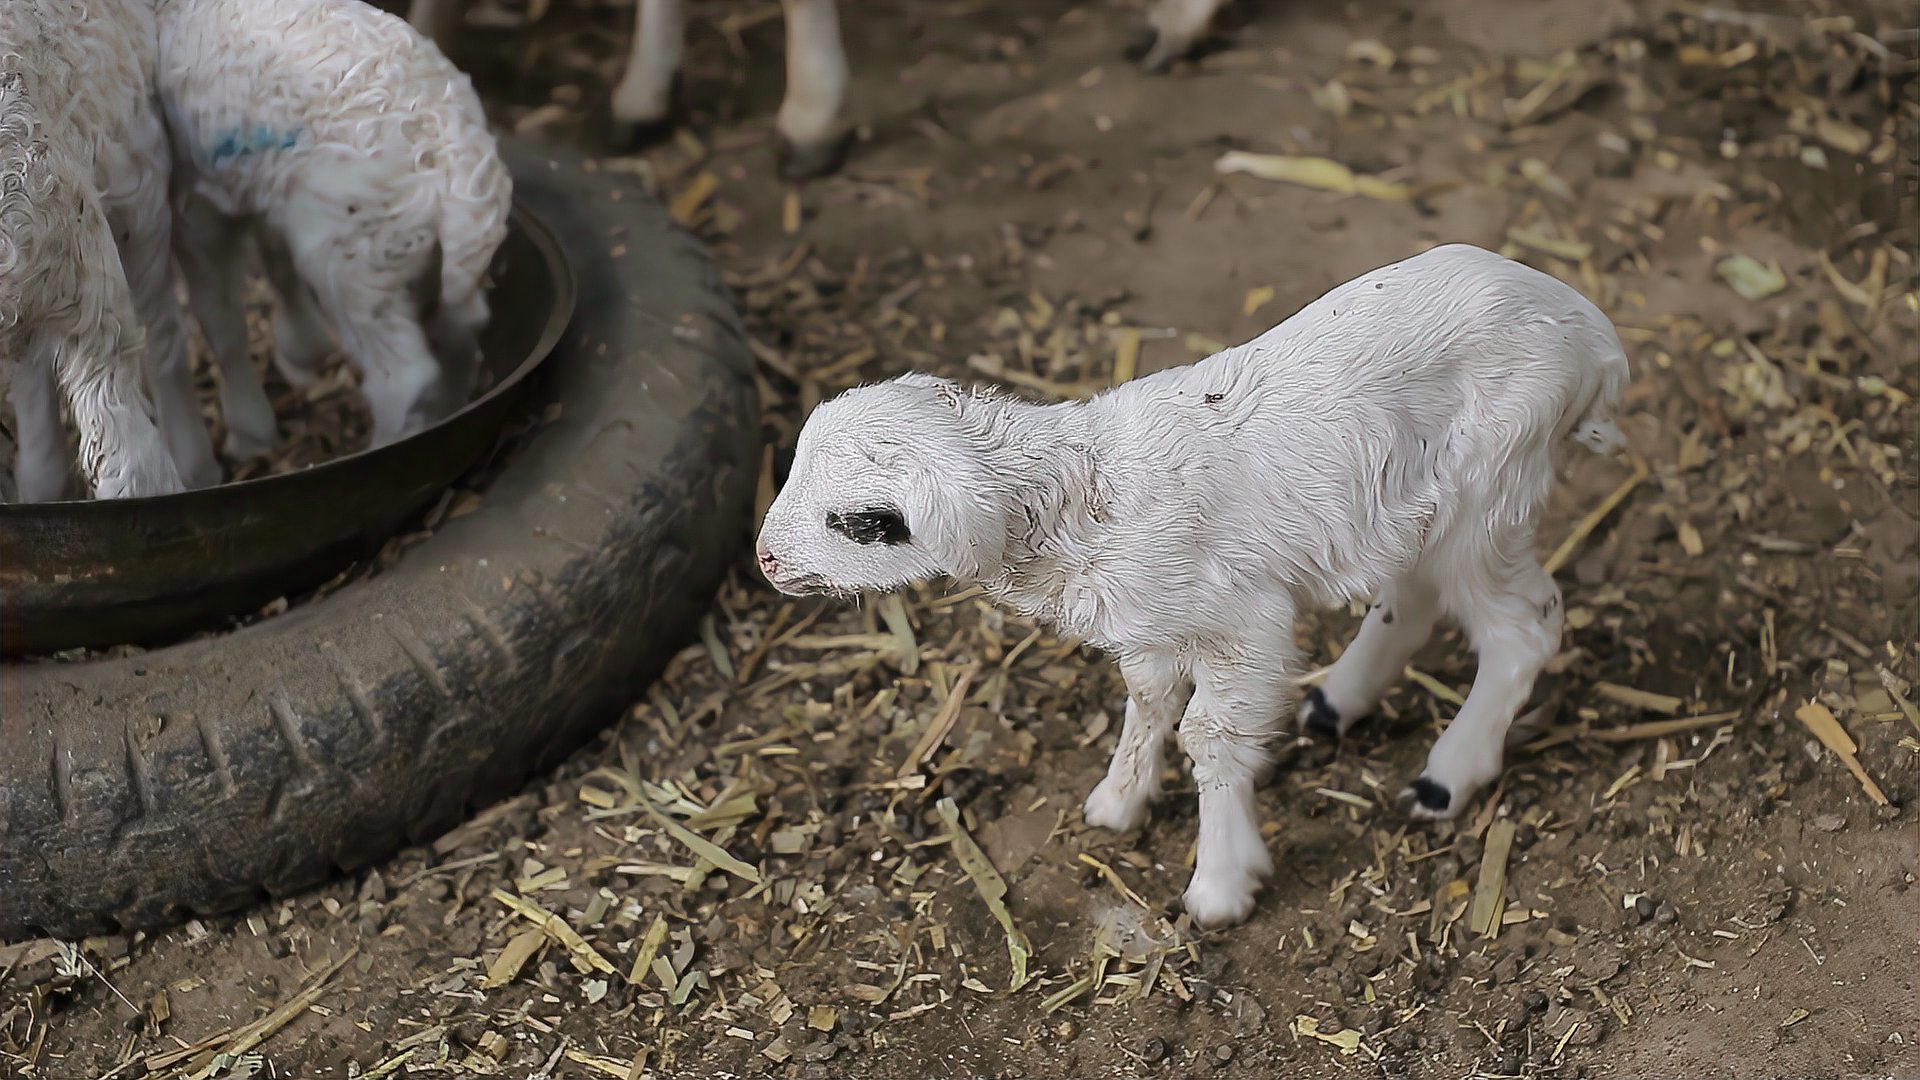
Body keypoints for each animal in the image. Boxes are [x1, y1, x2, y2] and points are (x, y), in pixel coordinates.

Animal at [151, 0, 510, 449]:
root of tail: (451, 146)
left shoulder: (197, 196)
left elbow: (217, 312)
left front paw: (248, 436)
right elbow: (272, 256)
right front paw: (300, 352)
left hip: (354, 253)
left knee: (404, 377)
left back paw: (383, 444)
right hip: (419, 252)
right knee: (462, 327)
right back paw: (448, 412)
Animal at [756, 244, 1628, 926]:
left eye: (862, 522)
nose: (763, 560)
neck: (1085, 498)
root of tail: (1595, 335)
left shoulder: (1244, 623)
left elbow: (1208, 734)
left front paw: (1221, 884)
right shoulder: (1155, 623)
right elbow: (1147, 701)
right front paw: (1118, 803)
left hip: (1491, 486)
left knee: (1526, 625)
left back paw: (1446, 778)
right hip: (1420, 508)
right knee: (1413, 598)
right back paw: (1335, 702)